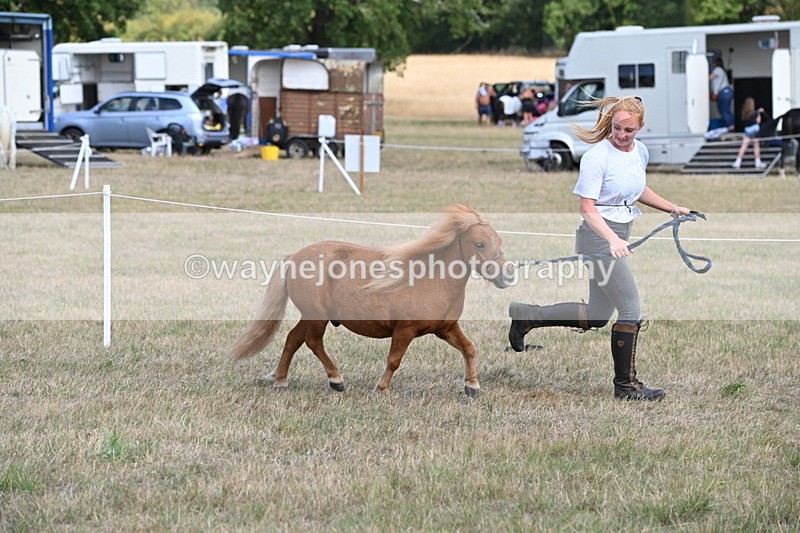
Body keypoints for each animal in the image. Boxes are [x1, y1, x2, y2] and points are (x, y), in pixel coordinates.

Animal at [228, 204, 517, 397]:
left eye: (499, 240)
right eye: (479, 244)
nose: (508, 274)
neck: (433, 279)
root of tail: (294, 257)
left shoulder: (446, 329)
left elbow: (469, 348)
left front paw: (472, 386)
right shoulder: (404, 330)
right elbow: (394, 360)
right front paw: (381, 387)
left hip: (311, 316)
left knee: (293, 339)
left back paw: (281, 380)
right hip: (317, 317)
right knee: (312, 342)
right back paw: (336, 380)